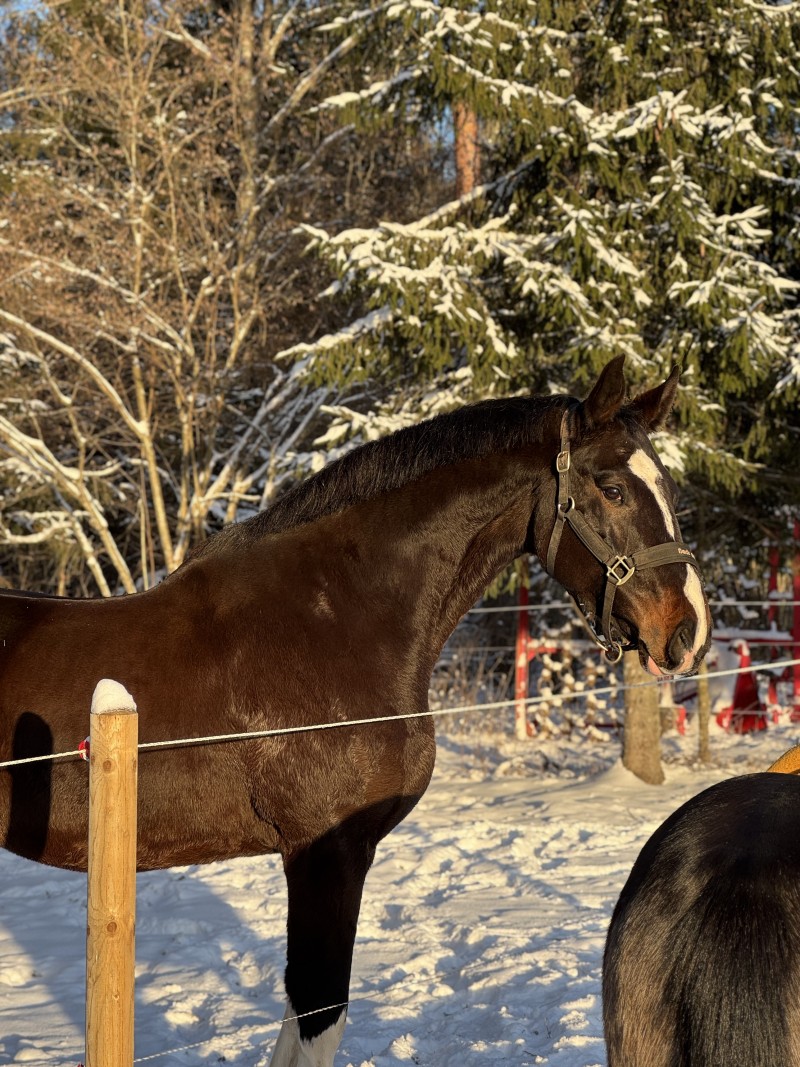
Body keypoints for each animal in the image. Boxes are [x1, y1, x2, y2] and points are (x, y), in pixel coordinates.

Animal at [0, 354, 710, 1067]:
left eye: (670, 487)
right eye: (613, 489)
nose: (687, 631)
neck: (336, 621)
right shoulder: (328, 850)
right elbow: (318, 1012)